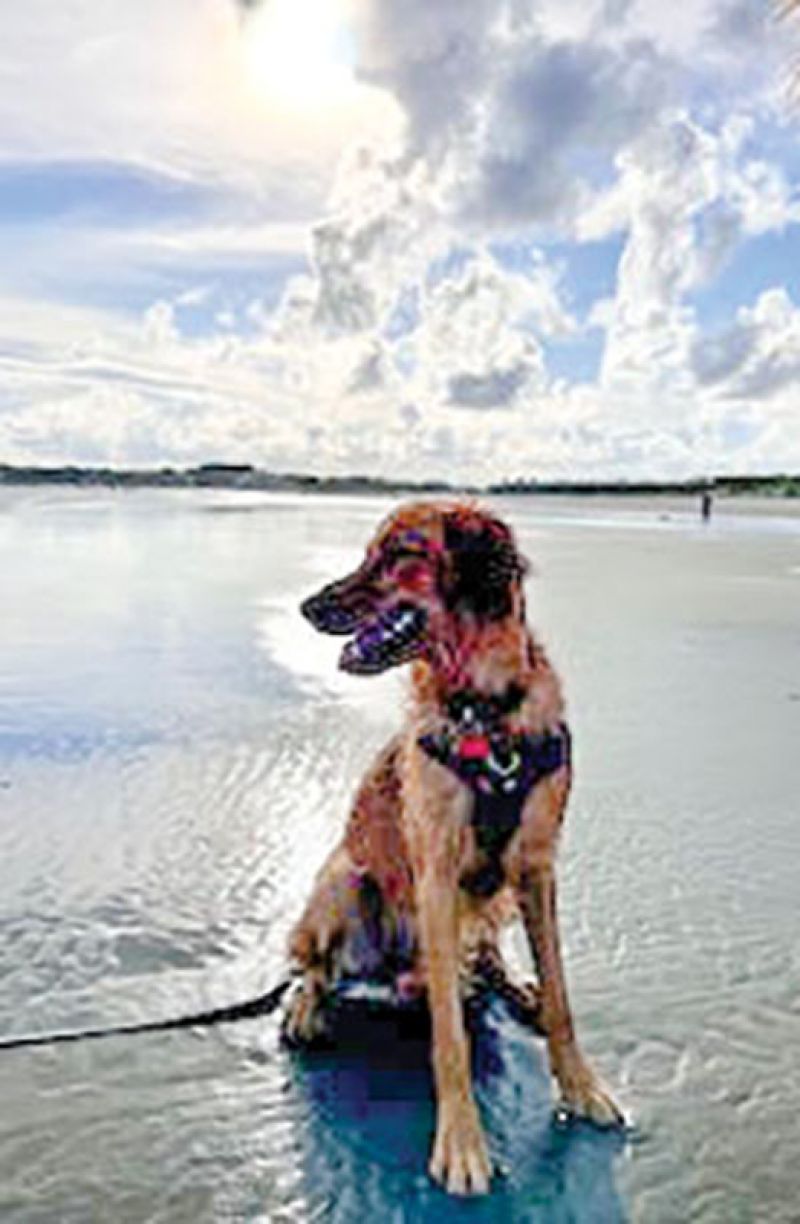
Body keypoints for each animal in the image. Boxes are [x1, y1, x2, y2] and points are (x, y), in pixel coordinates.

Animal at [282, 499, 626, 1194]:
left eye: (401, 555)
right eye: (371, 552)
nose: (308, 606)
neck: (486, 713)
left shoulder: (536, 870)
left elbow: (562, 999)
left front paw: (580, 1086)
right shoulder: (435, 879)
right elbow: (450, 1041)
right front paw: (463, 1144)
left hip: (494, 903)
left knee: (487, 959)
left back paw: (512, 987)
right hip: (342, 879)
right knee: (317, 966)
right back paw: (309, 1007)